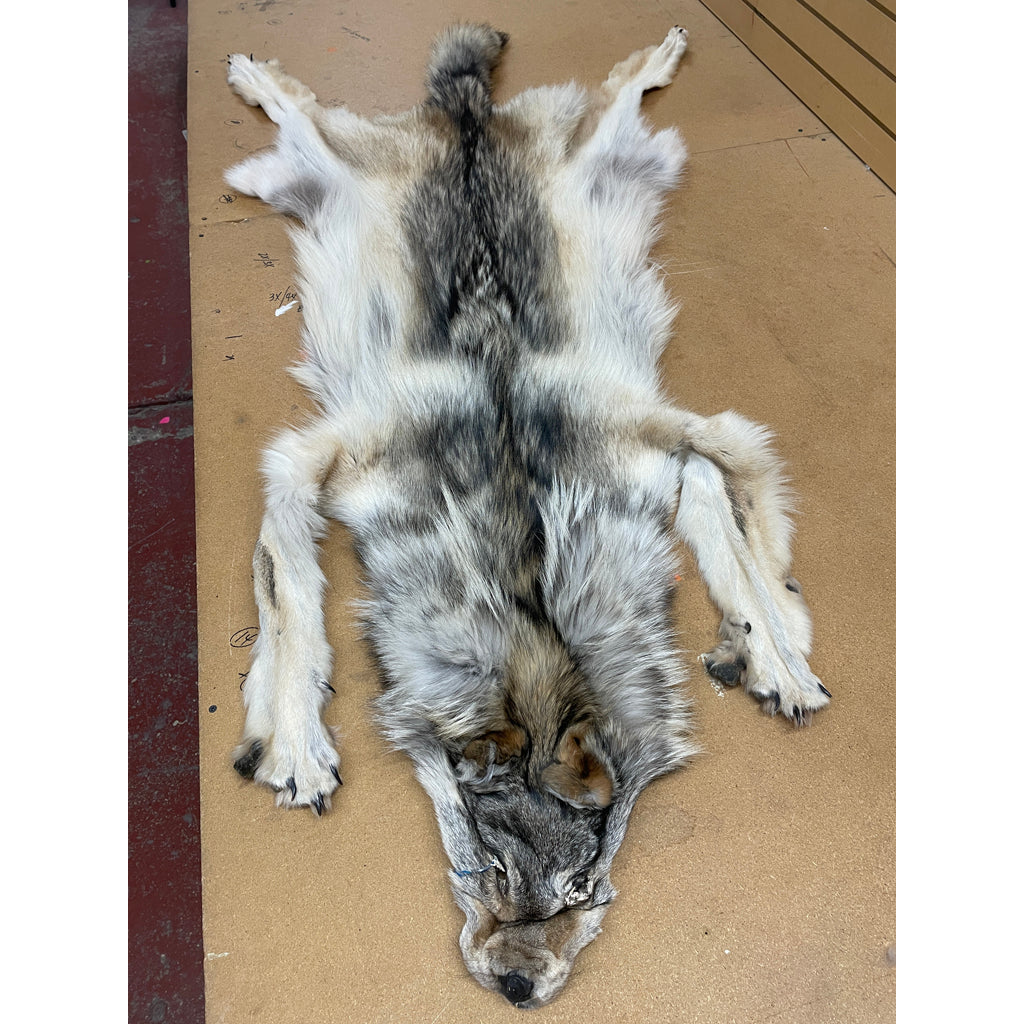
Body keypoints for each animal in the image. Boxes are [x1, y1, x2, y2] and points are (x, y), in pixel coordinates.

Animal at [223, 24, 829, 1007]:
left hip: (609, 156)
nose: (517, 989)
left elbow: (738, 505)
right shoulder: (307, 459)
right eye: (488, 870)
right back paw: (248, 71)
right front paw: (296, 739)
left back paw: (665, 46)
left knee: (621, 86)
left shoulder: (671, 431)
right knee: (298, 103)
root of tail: (470, 116)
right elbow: (291, 593)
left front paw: (773, 644)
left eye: (584, 887)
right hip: (316, 164)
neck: (530, 581)